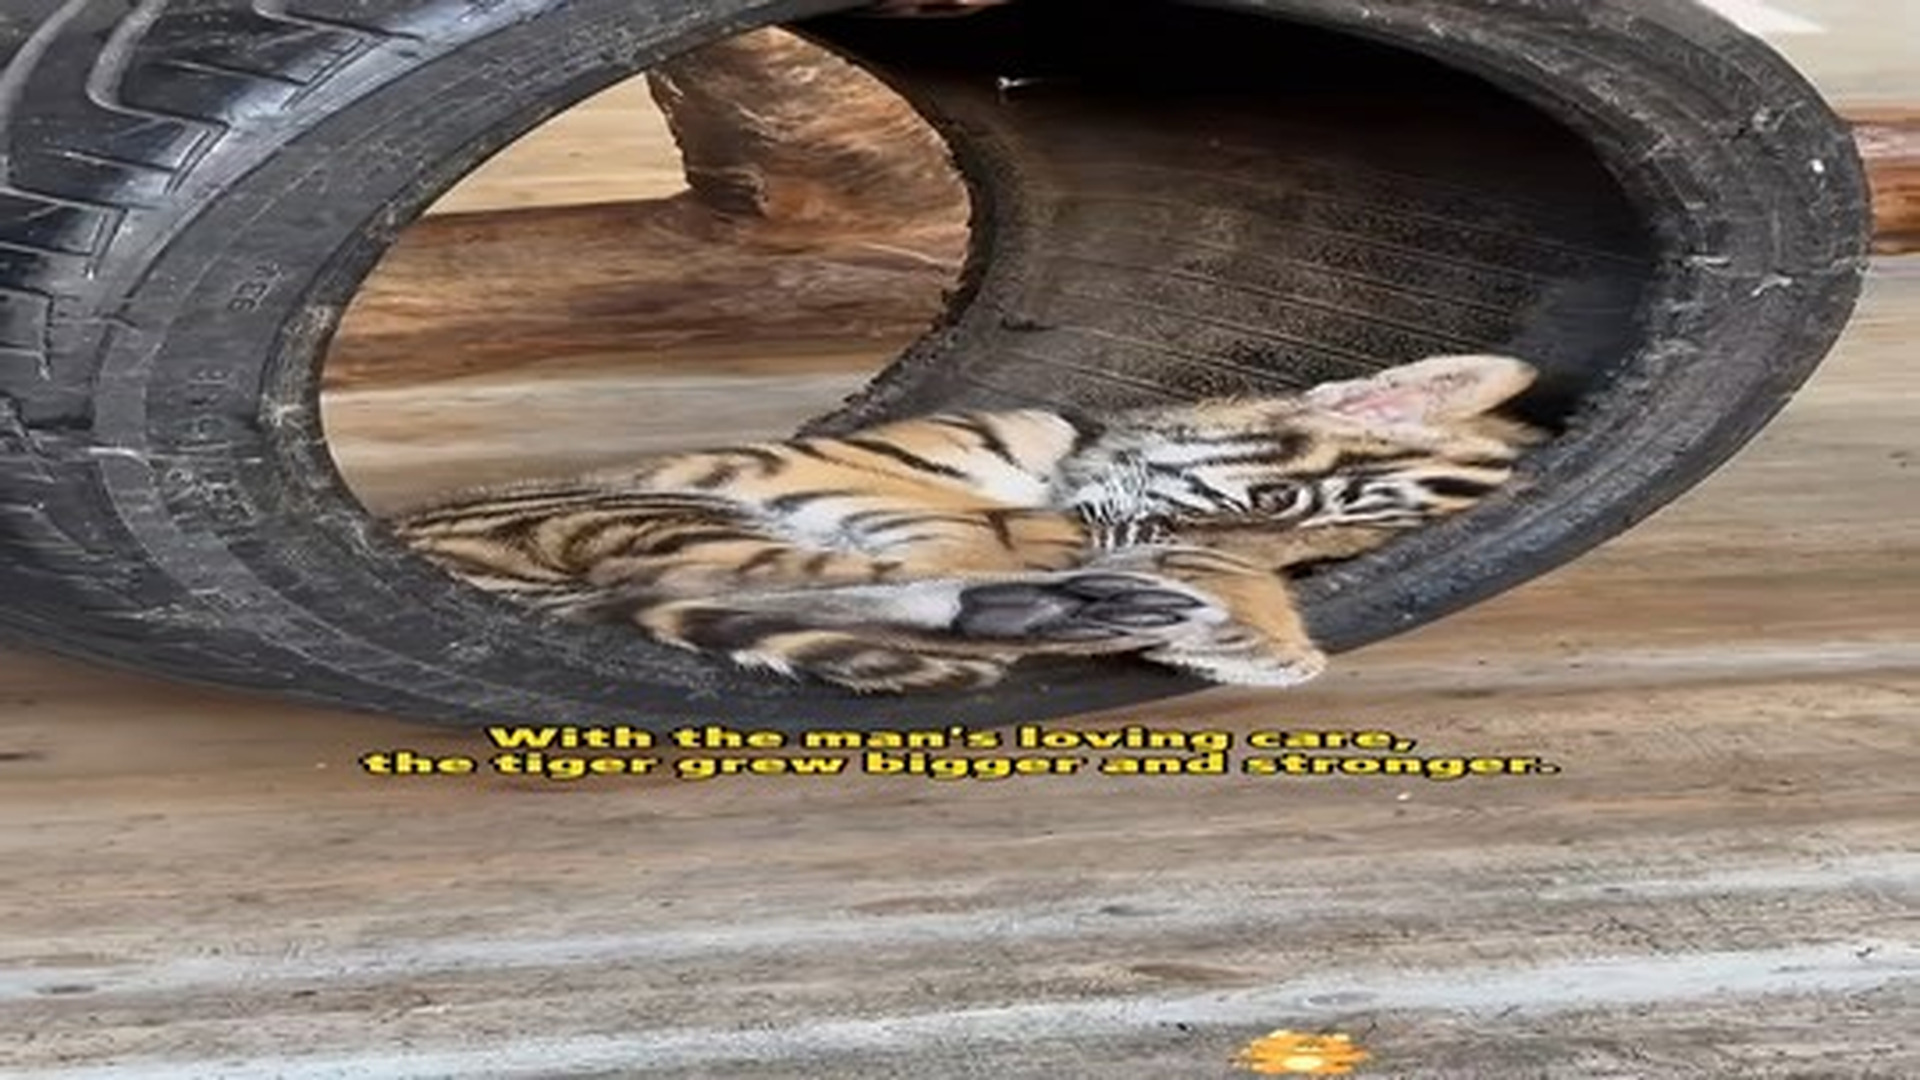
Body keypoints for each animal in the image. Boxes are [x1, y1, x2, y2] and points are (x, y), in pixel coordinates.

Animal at [390, 353, 1540, 693]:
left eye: (1322, 558)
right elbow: (989, 519)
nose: (1152, 556)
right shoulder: (814, 467)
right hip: (664, 512)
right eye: (1275, 506)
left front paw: (1253, 634)